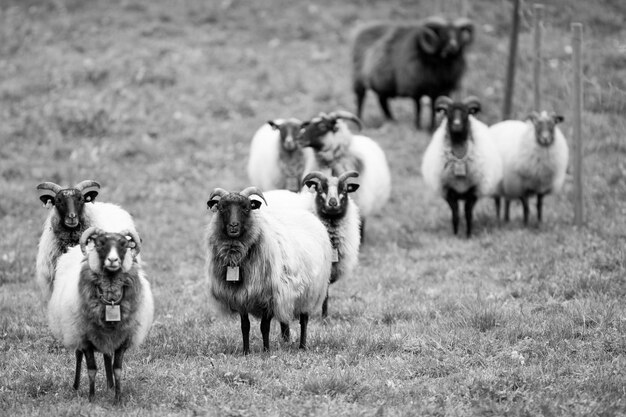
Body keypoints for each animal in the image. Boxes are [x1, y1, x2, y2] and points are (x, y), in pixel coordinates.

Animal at [48, 226, 154, 402]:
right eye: (100, 243)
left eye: (124, 244)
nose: (113, 260)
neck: (110, 301)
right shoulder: (85, 339)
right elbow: (91, 369)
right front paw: (91, 398)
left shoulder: (123, 339)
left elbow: (117, 369)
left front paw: (118, 398)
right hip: (74, 329)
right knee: (78, 356)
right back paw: (76, 386)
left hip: (106, 337)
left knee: (106, 356)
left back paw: (110, 386)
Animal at [205, 187, 332, 352]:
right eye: (221, 208)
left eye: (246, 208)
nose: (233, 226)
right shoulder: (241, 297)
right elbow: (245, 327)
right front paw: (246, 351)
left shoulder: (269, 297)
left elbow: (264, 327)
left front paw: (266, 350)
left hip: (310, 292)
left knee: (304, 320)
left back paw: (302, 346)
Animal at [420, 95, 502, 236]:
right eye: (448, 113)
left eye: (466, 113)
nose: (456, 125)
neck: (459, 159)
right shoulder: (448, 191)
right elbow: (455, 214)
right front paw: (455, 234)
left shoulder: (474, 190)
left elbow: (468, 214)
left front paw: (468, 235)